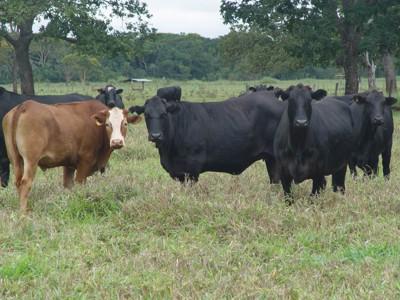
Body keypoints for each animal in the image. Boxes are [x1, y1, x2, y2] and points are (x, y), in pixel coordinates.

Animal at [1, 99, 141, 212]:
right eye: (108, 124)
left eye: (125, 124)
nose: (117, 142)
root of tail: (24, 106)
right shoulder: (85, 161)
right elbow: (79, 184)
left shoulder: (69, 165)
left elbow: (68, 186)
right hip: (31, 161)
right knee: (25, 183)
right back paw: (24, 213)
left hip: (16, 160)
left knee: (18, 182)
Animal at [130, 90, 284, 183]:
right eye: (147, 115)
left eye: (163, 114)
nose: (155, 136)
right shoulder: (178, 172)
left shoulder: (191, 169)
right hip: (271, 159)